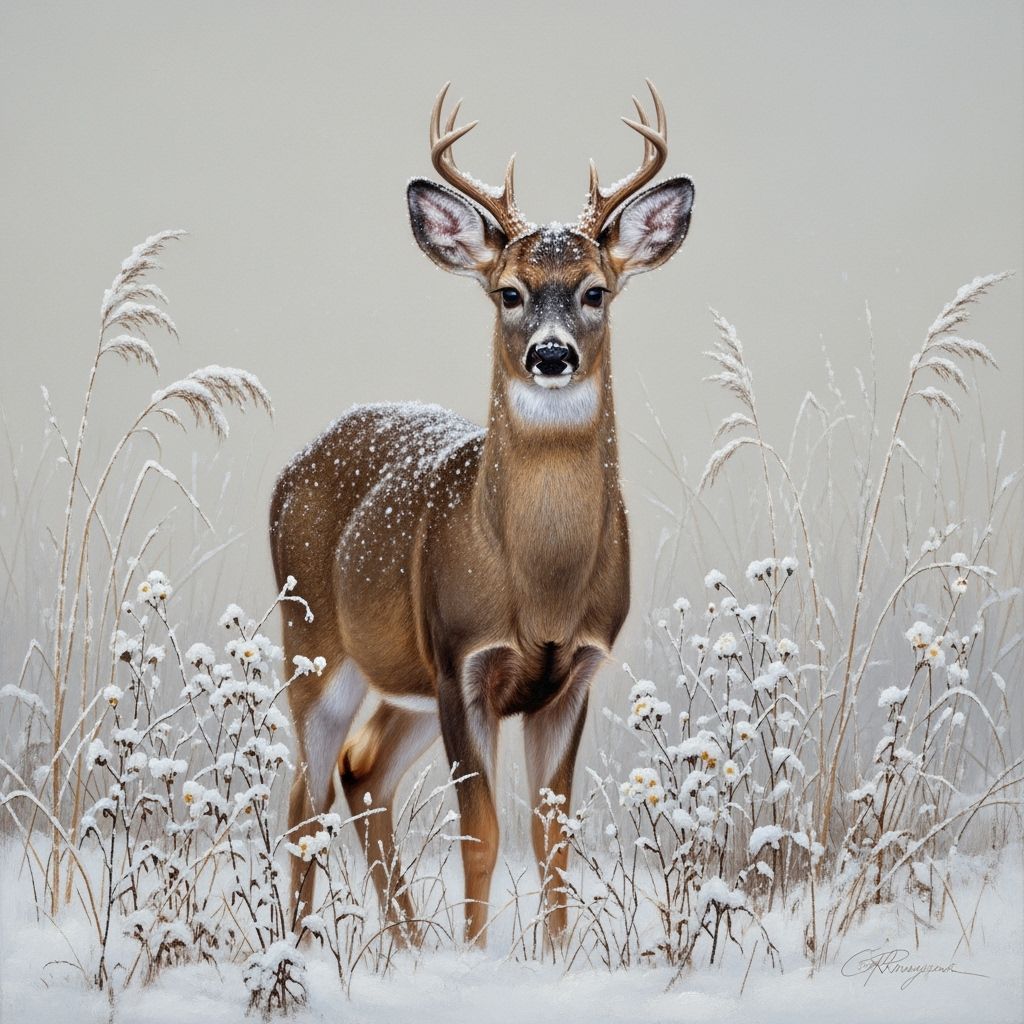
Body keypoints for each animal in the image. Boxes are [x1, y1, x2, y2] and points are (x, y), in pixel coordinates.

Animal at [269, 80, 693, 947]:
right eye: (510, 292)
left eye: (596, 291)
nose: (552, 354)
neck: (540, 586)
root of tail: (290, 470)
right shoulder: (462, 657)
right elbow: (483, 834)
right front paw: (474, 955)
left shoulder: (573, 673)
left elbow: (550, 833)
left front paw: (554, 955)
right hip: (316, 645)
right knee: (305, 798)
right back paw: (297, 950)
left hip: (404, 682)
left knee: (361, 771)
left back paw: (404, 946)